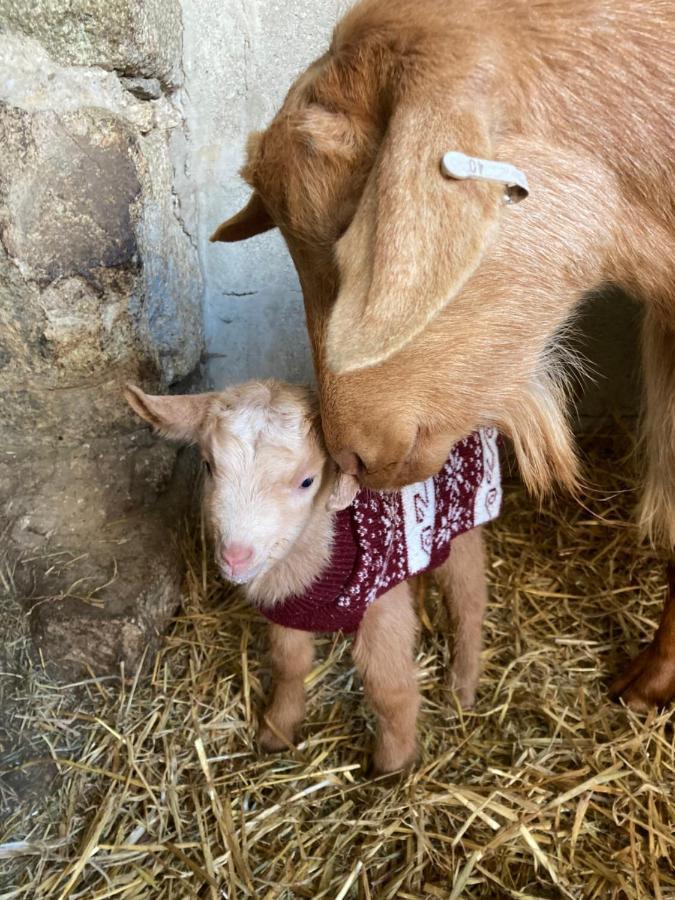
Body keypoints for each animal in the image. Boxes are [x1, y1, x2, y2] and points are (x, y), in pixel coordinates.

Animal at [125, 380, 502, 772]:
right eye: (208, 465)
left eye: (307, 481)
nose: (235, 557)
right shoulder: (289, 608)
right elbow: (289, 663)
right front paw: (277, 729)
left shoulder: (381, 600)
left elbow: (387, 685)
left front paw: (392, 765)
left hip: (465, 516)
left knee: (469, 601)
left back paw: (462, 687)